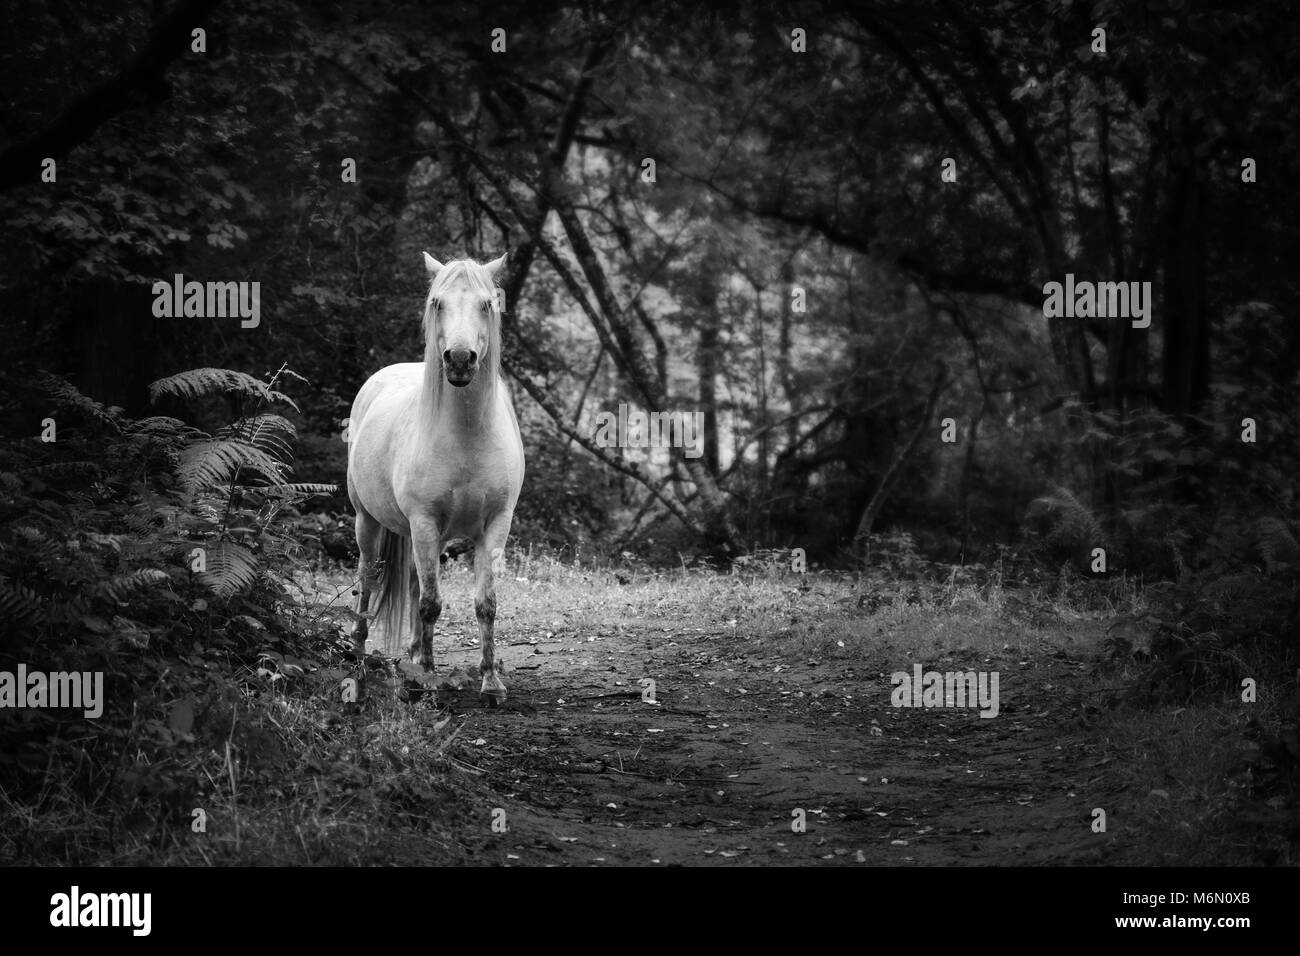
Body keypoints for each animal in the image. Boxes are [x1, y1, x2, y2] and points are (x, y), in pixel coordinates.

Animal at [351, 252, 527, 702]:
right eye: (437, 303)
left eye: (486, 304)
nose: (460, 359)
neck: (466, 435)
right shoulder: (425, 522)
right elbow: (431, 604)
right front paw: (426, 681)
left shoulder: (495, 525)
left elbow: (485, 604)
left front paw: (491, 682)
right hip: (368, 521)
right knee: (367, 580)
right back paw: (358, 654)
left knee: (415, 585)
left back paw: (414, 655)